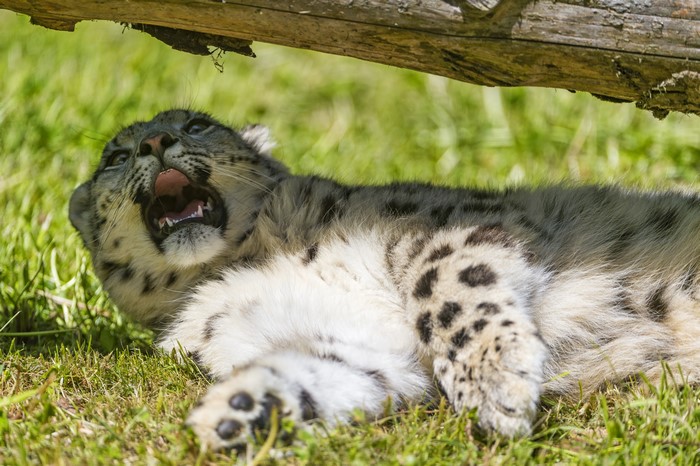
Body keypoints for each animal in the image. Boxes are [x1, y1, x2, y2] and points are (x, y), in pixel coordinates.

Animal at [69, 109, 700, 451]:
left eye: (197, 124)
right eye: (114, 156)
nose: (155, 142)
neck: (236, 262)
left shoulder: (442, 228)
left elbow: (446, 288)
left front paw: (497, 385)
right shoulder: (357, 344)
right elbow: (328, 371)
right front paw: (237, 410)